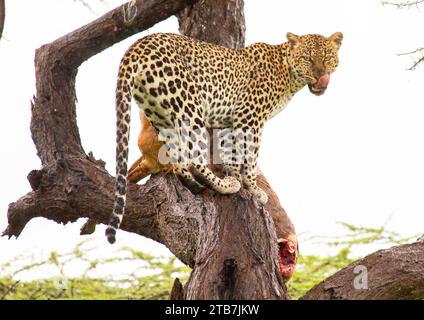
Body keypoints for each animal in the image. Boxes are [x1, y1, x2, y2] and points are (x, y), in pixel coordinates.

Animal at [104, 31, 342, 242]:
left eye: (327, 58)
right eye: (307, 58)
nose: (320, 74)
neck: (289, 74)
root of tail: (135, 47)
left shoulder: (229, 122)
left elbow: (232, 152)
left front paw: (236, 177)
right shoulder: (250, 118)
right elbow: (250, 158)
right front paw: (253, 189)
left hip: (160, 115)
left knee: (179, 162)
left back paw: (198, 186)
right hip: (189, 107)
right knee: (194, 159)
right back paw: (222, 185)